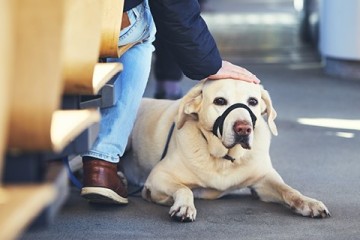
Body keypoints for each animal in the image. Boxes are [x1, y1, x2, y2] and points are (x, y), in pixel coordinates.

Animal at [121, 79, 330, 222]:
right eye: (220, 101)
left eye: (253, 101)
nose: (243, 128)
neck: (224, 159)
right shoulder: (158, 177)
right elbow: (184, 188)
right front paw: (184, 206)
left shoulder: (264, 180)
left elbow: (289, 190)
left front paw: (308, 203)